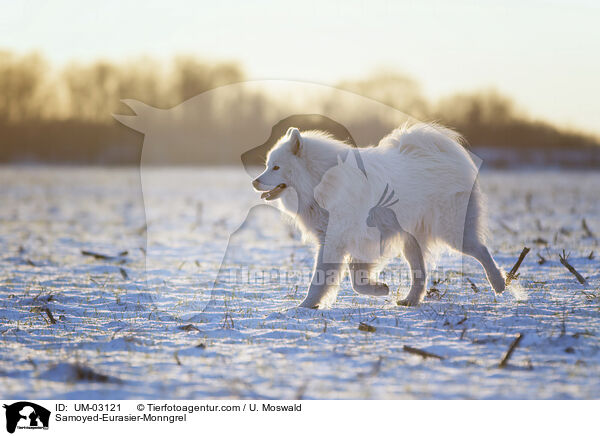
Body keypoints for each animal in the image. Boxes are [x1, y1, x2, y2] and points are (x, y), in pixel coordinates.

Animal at [251, 121, 504, 308]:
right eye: (267, 165)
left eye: (276, 167)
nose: (255, 181)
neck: (320, 180)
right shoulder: (346, 239)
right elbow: (354, 279)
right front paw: (378, 288)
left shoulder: (339, 238)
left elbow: (321, 278)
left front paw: (303, 306)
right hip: (411, 242)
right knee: (420, 275)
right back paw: (410, 300)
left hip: (452, 231)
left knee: (481, 250)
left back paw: (500, 283)